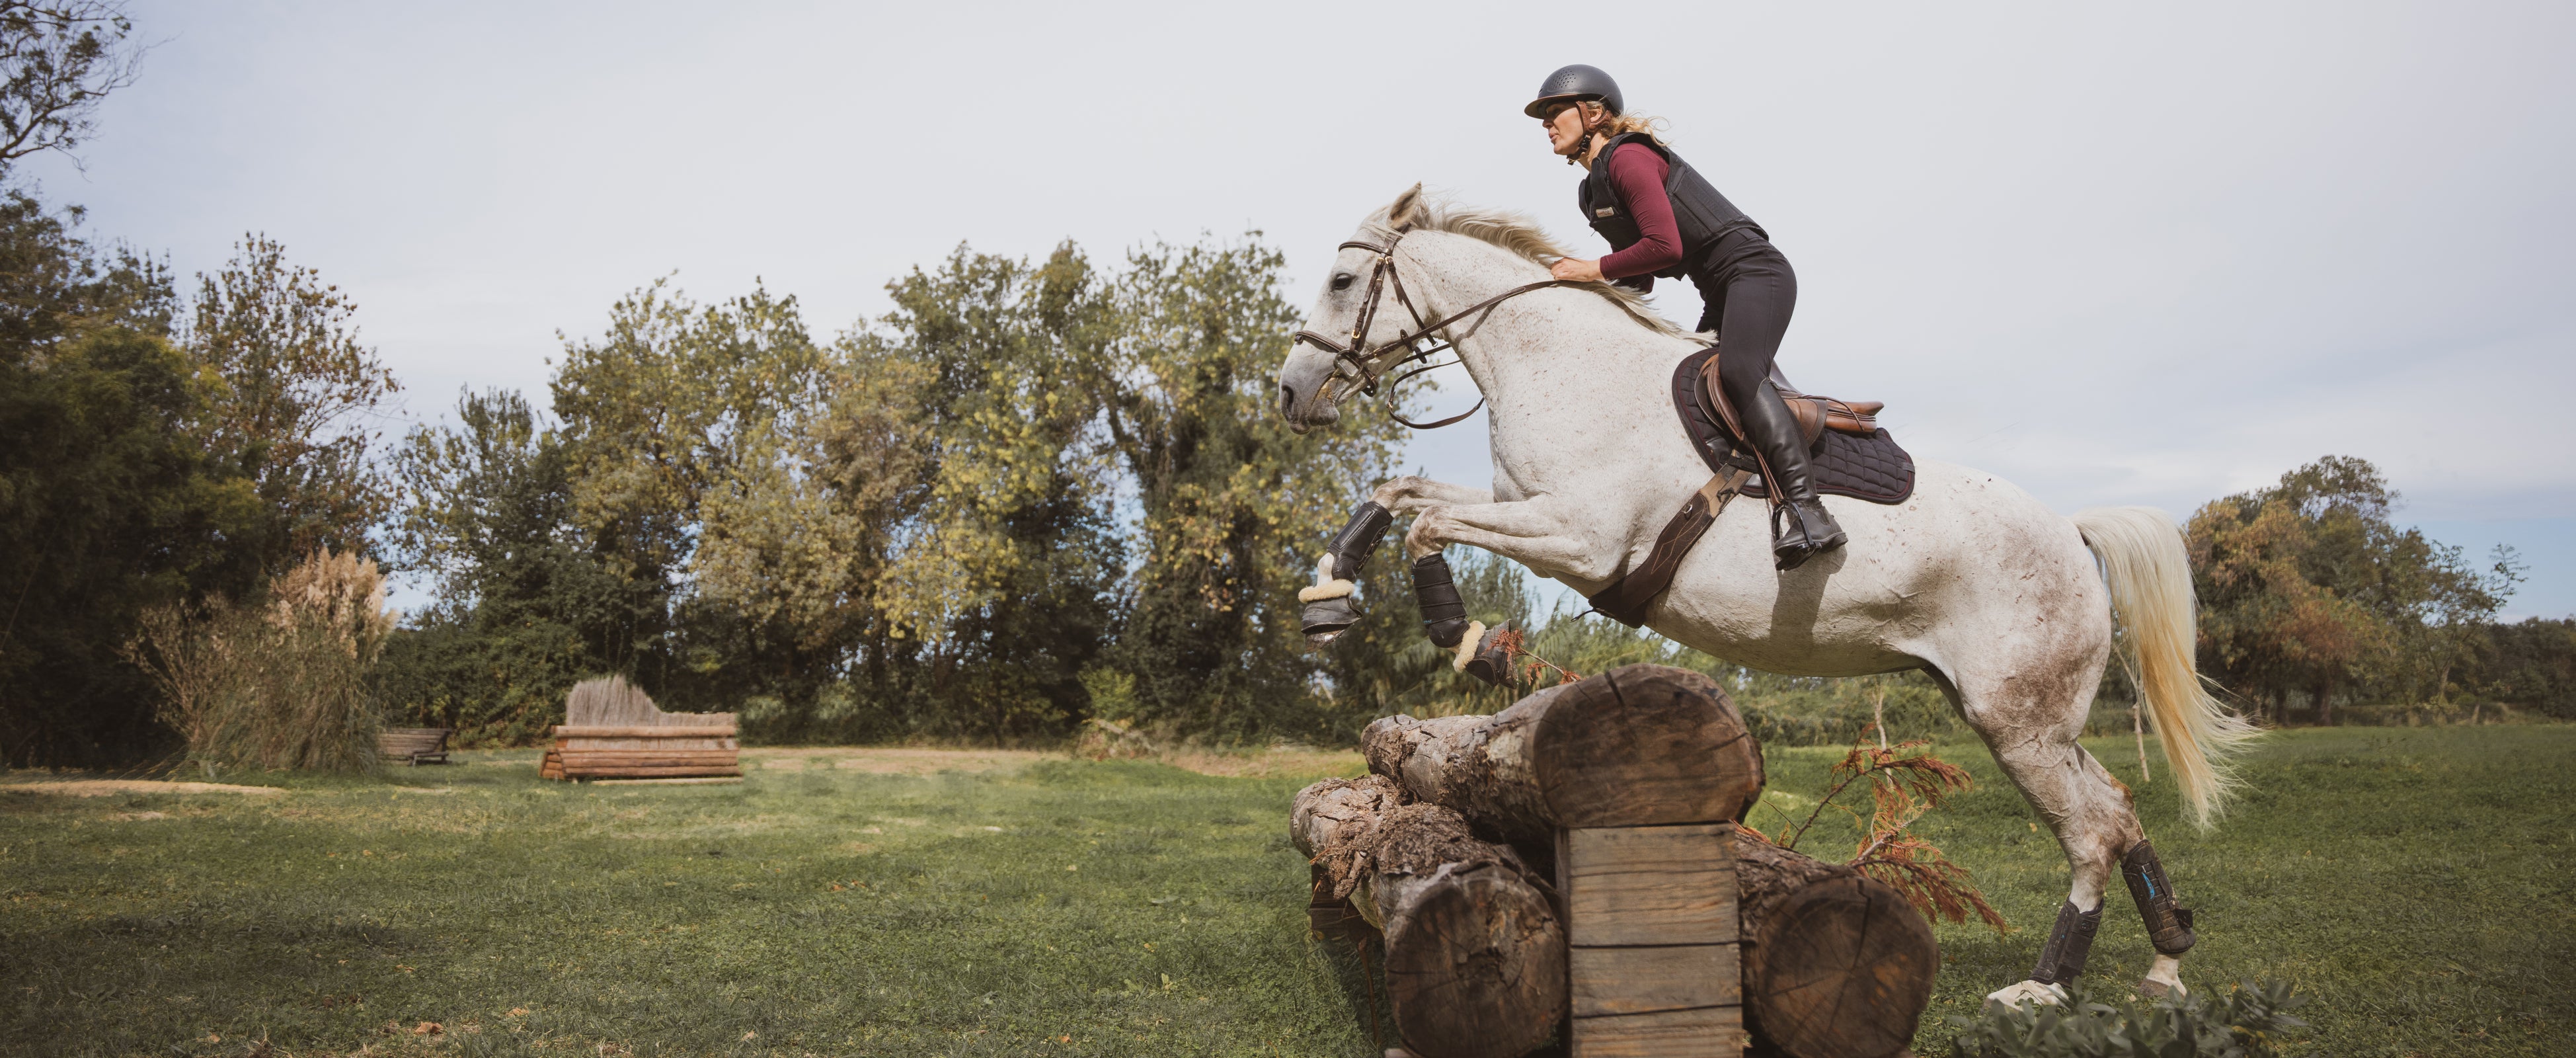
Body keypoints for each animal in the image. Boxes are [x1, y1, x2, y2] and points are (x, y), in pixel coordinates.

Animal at [1277, 186, 2246, 1009]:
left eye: (1341, 280)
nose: (1291, 393)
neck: (1559, 365)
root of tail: (2075, 535)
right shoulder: (1525, 507)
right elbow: (1403, 493)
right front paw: (1329, 592)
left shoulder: (1579, 538)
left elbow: (1428, 525)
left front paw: (1464, 639)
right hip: (2028, 717)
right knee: (2116, 812)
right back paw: (2165, 961)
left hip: (2021, 723)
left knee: (2090, 833)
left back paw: (2044, 987)